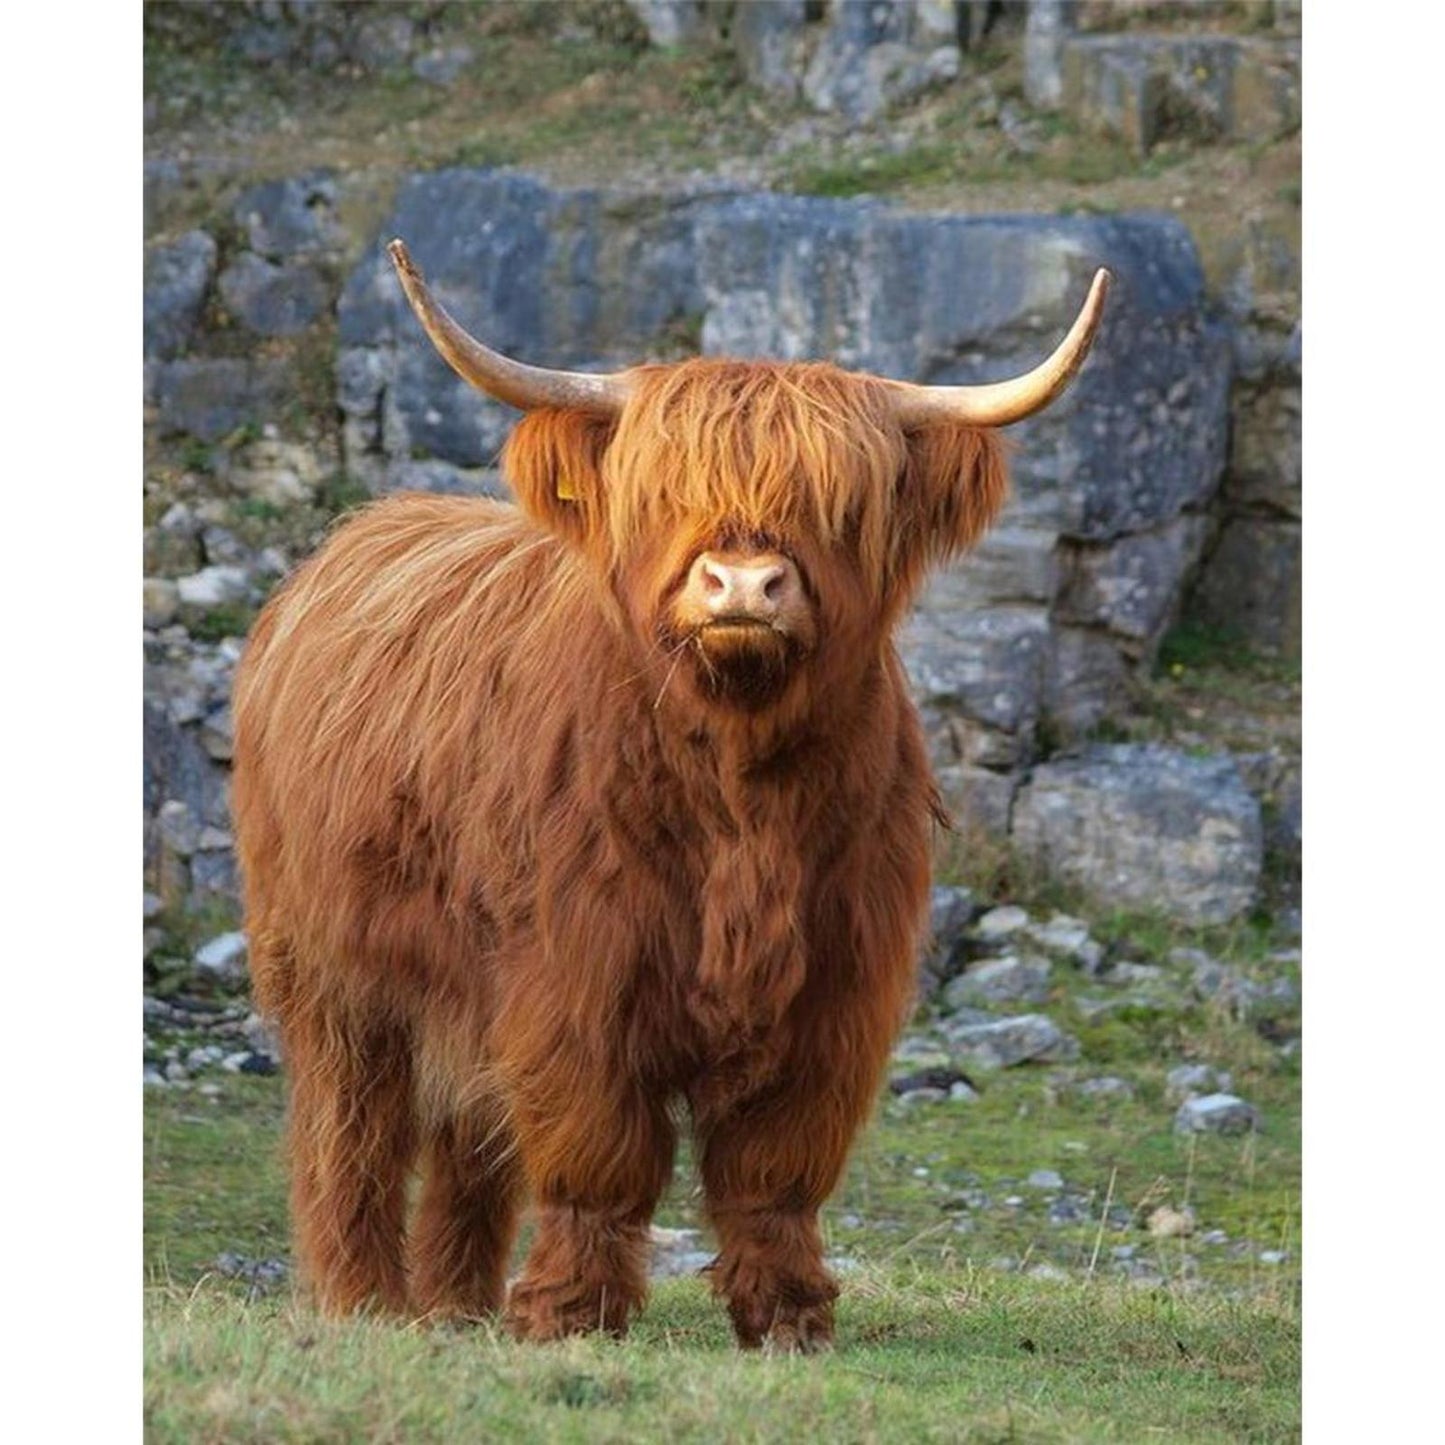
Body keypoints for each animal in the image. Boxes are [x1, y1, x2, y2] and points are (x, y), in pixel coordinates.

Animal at [232, 237, 1108, 1351]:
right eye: (663, 491)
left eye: (841, 504)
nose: (741, 585)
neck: (738, 790)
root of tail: (348, 540)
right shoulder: (576, 974)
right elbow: (595, 1149)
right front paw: (571, 1314)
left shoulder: (837, 987)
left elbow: (776, 1166)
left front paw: (787, 1318)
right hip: (332, 970)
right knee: (351, 1128)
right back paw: (364, 1301)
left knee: (468, 1137)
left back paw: (459, 1305)